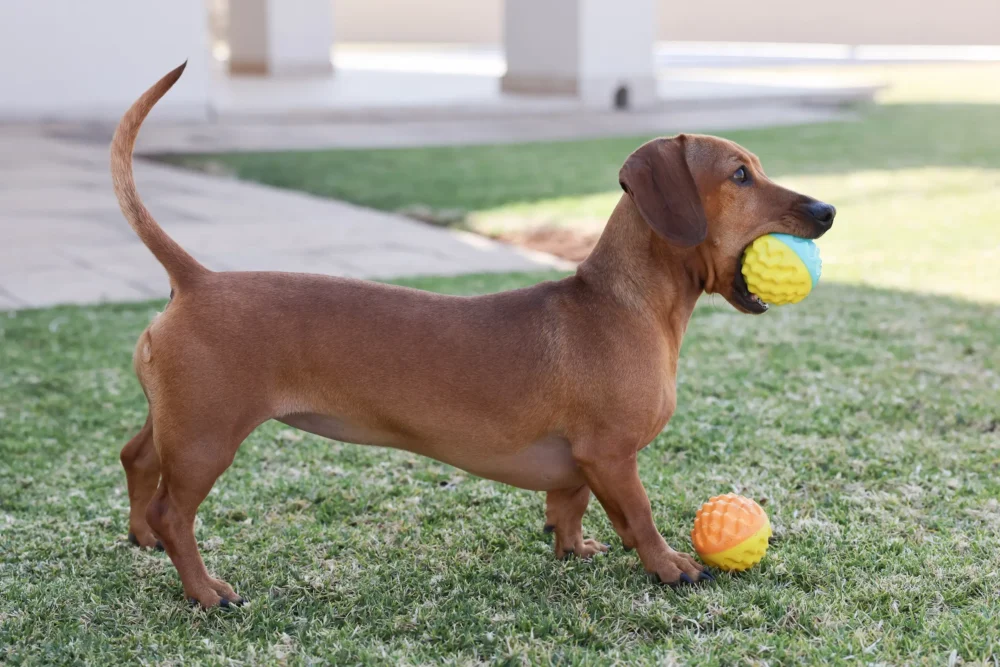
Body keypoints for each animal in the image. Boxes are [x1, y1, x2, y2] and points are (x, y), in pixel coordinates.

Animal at [115, 65, 836, 608]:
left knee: (137, 459)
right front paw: (668, 565)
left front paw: (572, 548)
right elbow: (639, 515)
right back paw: (205, 590)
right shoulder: (611, 455)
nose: (827, 210)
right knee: (175, 513)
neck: (619, 303)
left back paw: (141, 538)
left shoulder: (582, 462)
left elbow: (569, 504)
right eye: (739, 175)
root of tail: (197, 280)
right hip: (208, 439)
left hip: (179, 423)